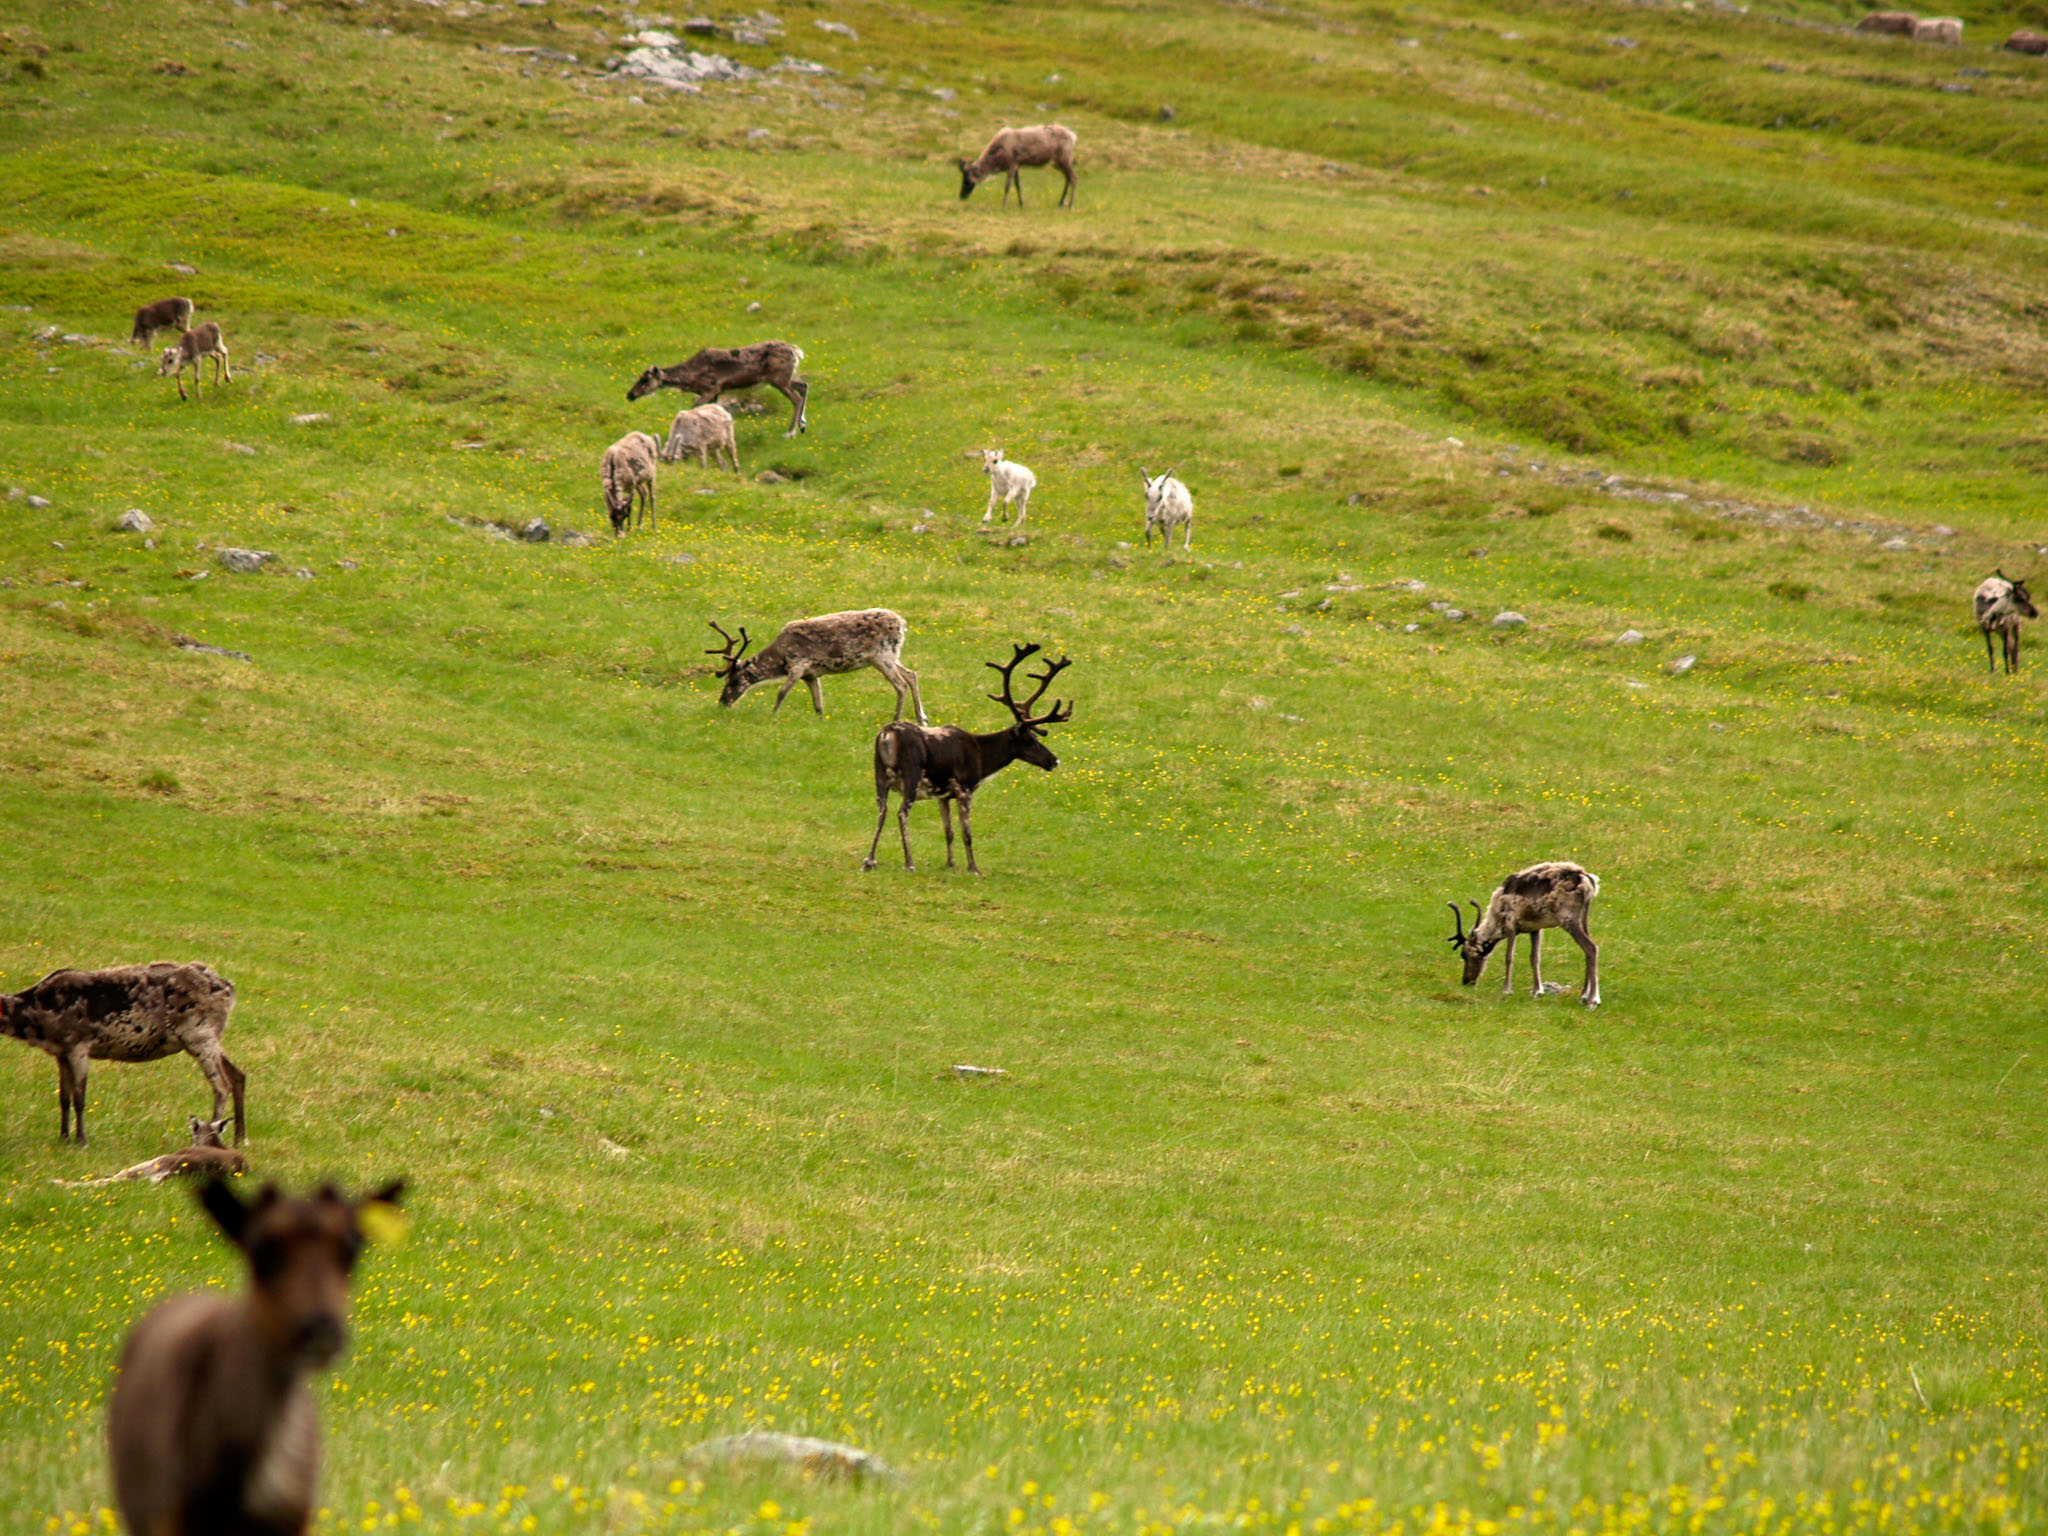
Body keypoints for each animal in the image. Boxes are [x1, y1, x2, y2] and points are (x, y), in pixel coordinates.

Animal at [1441, 868, 1597, 1011]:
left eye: (1464, 955)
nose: (1466, 981)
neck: (1496, 918)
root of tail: (1588, 880)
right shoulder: (1535, 928)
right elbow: (1534, 958)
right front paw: (1537, 990)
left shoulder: (1510, 925)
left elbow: (1509, 957)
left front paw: (1507, 989)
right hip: (1584, 919)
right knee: (1587, 951)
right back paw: (1583, 996)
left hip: (1568, 919)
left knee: (1591, 948)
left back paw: (1592, 1000)